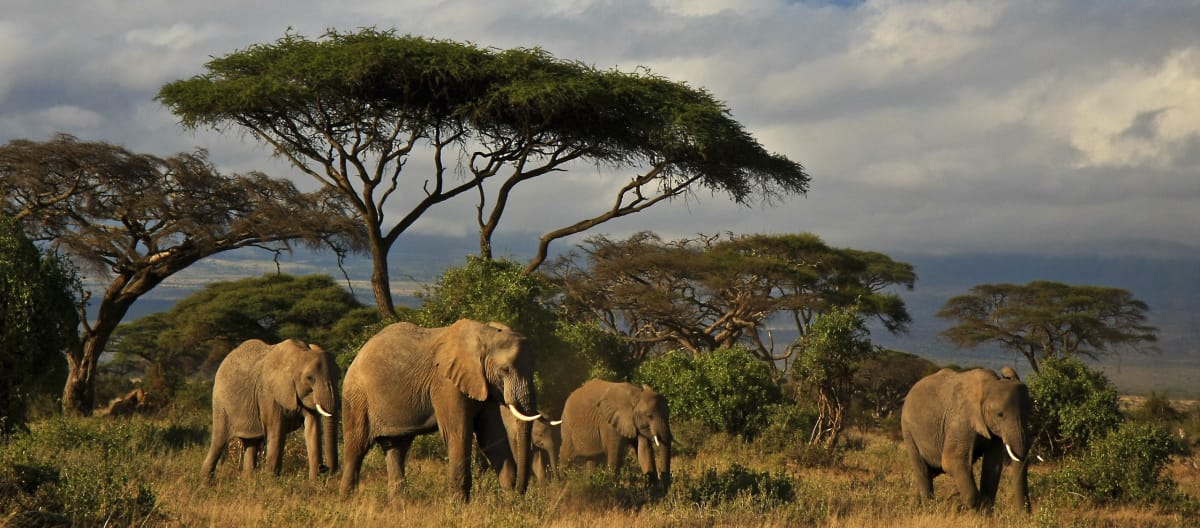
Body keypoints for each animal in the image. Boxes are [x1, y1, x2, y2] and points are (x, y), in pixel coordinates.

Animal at [199, 338, 336, 482]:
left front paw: (314, 482)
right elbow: (276, 430)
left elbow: (312, 427)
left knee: (251, 443)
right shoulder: (268, 394)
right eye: (310, 378)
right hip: (221, 404)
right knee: (219, 441)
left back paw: (248, 481)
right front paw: (271, 482)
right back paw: (204, 483)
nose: (324, 468)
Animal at [340, 319, 542, 501]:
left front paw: (509, 502)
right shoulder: (446, 384)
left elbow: (491, 437)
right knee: (356, 445)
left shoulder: (486, 384)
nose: (520, 492)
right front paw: (458, 506)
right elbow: (458, 433)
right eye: (505, 370)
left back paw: (399, 504)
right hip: (357, 397)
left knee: (397, 448)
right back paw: (347, 501)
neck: (485, 335)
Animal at [902, 367, 1032, 511]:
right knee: (923, 471)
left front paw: (984, 513)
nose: (1025, 513)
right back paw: (929, 509)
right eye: (1000, 415)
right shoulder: (960, 419)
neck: (991, 384)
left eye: (1030, 413)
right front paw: (973, 510)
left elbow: (992, 466)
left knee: (931, 472)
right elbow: (951, 461)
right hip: (908, 431)